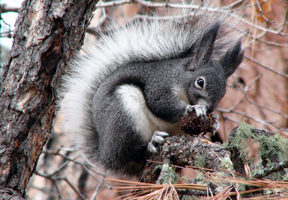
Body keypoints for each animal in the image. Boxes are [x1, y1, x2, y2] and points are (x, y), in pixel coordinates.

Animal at [56, 12, 243, 175]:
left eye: (223, 93)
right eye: (200, 82)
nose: (209, 109)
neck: (180, 79)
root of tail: (104, 153)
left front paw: (214, 121)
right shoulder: (158, 84)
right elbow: (160, 103)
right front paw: (193, 109)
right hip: (123, 114)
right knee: (130, 154)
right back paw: (151, 142)